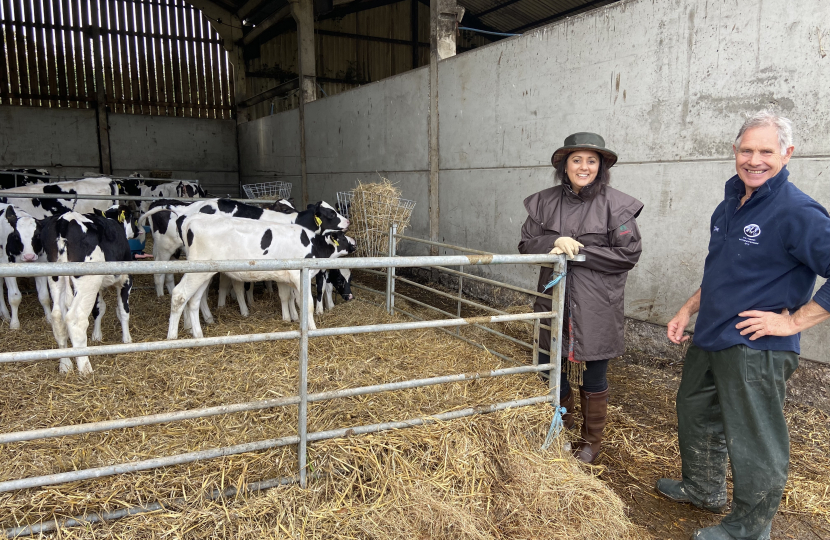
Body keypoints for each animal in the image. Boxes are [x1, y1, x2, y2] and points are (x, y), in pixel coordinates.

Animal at [41, 205, 139, 374]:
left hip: (56, 278)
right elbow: (123, 310)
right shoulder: (126, 279)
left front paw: (97, 335)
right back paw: (85, 367)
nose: (138, 231)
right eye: (133, 218)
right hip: (87, 281)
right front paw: (127, 339)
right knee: (76, 319)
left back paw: (65, 364)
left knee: (58, 317)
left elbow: (99, 308)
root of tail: (64, 220)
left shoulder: (98, 287)